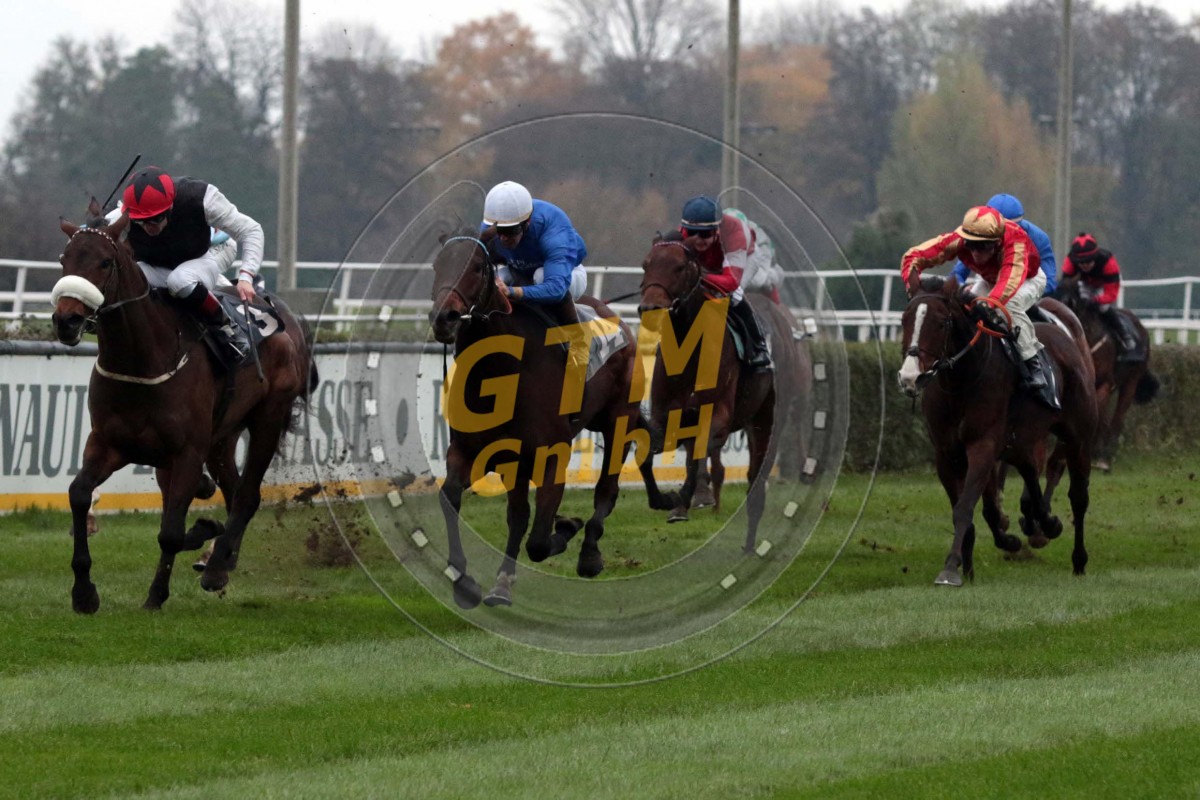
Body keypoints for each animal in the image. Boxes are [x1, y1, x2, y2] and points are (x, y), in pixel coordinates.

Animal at [50, 203, 316, 613]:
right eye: (65, 260)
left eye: (105, 262)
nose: (67, 320)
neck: (144, 359)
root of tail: (285, 314)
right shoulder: (108, 444)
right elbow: (79, 495)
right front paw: (84, 592)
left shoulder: (187, 451)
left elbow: (171, 532)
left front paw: (155, 596)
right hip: (222, 436)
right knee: (234, 491)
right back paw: (221, 557)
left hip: (268, 418)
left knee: (248, 494)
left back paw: (216, 565)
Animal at [427, 227, 675, 609]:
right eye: (438, 265)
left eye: (477, 268)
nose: (444, 318)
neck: (501, 372)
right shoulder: (475, 451)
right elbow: (454, 498)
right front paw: (467, 583)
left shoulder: (550, 455)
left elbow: (539, 541)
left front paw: (567, 525)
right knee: (519, 514)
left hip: (616, 420)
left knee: (606, 491)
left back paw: (589, 554)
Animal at [636, 235, 801, 550]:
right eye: (645, 264)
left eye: (679, 267)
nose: (651, 308)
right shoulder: (665, 417)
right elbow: (648, 454)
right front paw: (664, 499)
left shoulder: (719, 419)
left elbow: (698, 457)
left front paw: (682, 502)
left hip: (766, 419)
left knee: (755, 478)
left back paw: (750, 543)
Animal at [897, 277, 1097, 586]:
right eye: (905, 320)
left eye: (942, 323)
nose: (909, 377)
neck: (961, 383)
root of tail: (1065, 336)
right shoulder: (947, 454)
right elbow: (983, 508)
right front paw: (970, 566)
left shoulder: (983, 445)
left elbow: (965, 507)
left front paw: (950, 569)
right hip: (1021, 440)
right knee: (1029, 473)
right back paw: (1045, 523)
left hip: (1077, 436)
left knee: (1077, 496)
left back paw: (1078, 560)